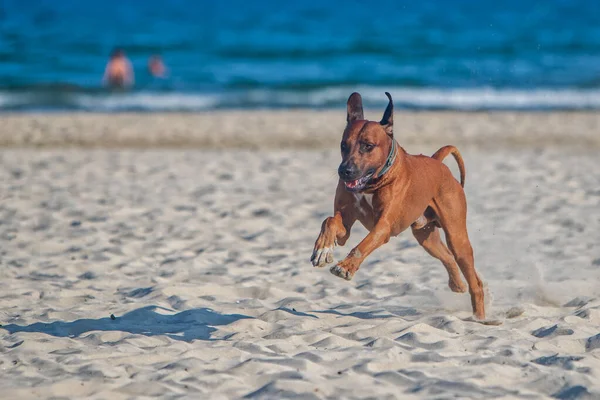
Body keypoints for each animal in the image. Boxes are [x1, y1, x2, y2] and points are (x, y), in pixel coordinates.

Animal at [312, 92, 486, 320]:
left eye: (367, 146)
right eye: (343, 145)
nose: (344, 171)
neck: (373, 182)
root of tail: (437, 162)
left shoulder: (383, 226)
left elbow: (363, 246)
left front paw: (346, 266)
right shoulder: (344, 226)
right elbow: (330, 221)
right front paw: (322, 249)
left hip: (458, 237)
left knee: (473, 279)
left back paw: (481, 318)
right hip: (426, 237)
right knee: (447, 257)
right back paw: (457, 284)